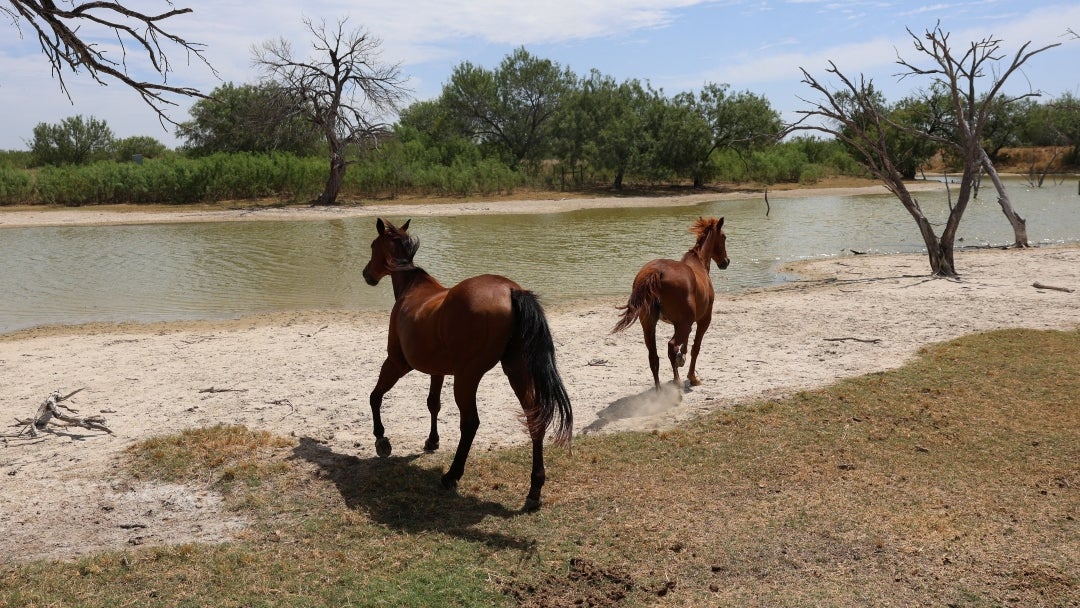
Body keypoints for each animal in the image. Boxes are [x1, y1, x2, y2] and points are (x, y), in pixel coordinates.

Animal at [361, 218, 573, 511]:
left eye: (372, 245)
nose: (366, 274)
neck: (413, 288)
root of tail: (511, 290)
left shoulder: (397, 362)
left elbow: (376, 396)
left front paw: (381, 439)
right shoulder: (437, 371)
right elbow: (433, 404)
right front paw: (432, 440)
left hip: (467, 377)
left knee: (470, 422)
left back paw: (452, 476)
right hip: (516, 370)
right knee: (535, 418)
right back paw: (534, 491)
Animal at [612, 217, 730, 391]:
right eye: (724, 237)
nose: (726, 262)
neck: (699, 262)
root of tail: (656, 272)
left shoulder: (681, 324)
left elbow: (686, 344)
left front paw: (682, 358)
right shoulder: (703, 320)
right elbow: (695, 348)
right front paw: (692, 377)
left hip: (649, 325)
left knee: (653, 356)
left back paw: (659, 390)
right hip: (684, 323)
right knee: (671, 346)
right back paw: (677, 381)